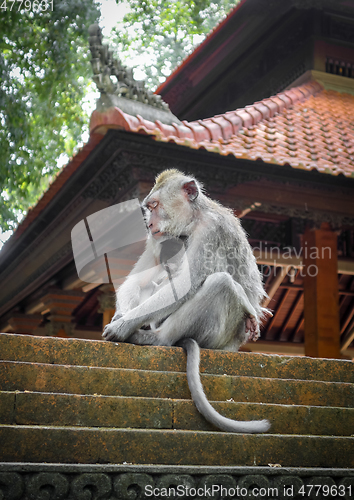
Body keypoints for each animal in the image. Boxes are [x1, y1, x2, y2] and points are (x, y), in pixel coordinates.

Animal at [102, 169, 272, 434]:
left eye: (155, 205)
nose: (149, 224)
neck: (193, 220)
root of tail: (235, 345)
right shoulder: (158, 240)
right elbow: (138, 280)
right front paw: (122, 316)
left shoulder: (211, 230)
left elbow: (186, 286)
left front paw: (122, 325)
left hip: (219, 337)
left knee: (221, 282)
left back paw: (157, 338)